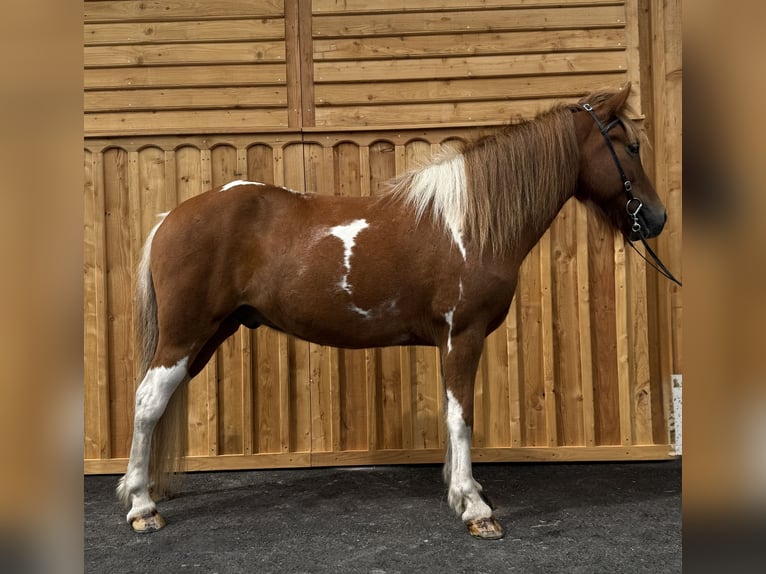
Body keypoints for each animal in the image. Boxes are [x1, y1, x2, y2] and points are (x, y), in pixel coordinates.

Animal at [116, 84, 668, 540]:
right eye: (631, 147)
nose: (657, 217)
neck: (470, 224)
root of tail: (170, 217)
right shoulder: (463, 336)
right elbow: (461, 417)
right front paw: (475, 510)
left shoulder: (454, 342)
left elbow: (452, 416)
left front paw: (463, 491)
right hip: (184, 336)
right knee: (147, 401)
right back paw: (142, 506)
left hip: (207, 336)